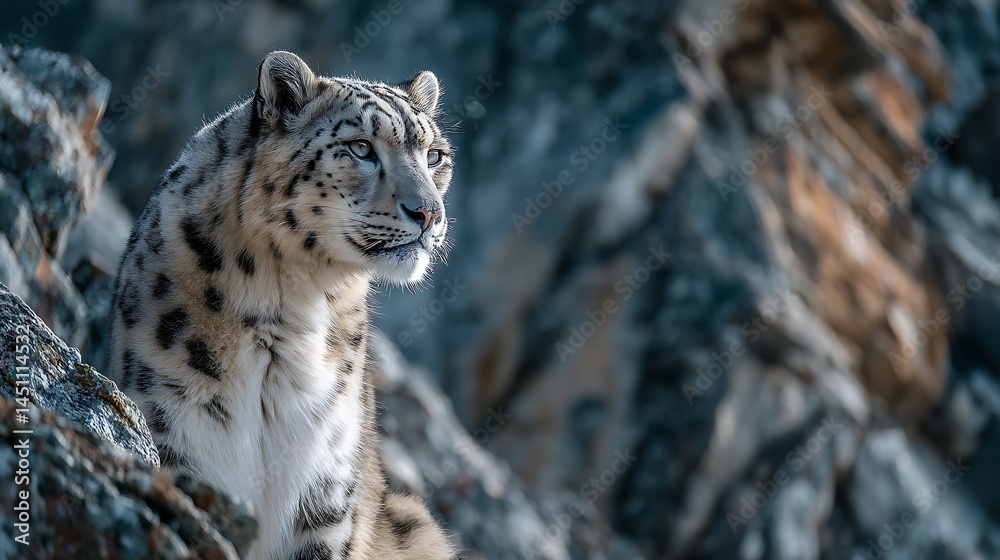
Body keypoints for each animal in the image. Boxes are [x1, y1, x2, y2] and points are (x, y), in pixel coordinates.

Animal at [107, 50, 456, 560]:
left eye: (434, 156)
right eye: (360, 147)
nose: (429, 213)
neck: (295, 305)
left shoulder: (324, 485)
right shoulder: (180, 430)